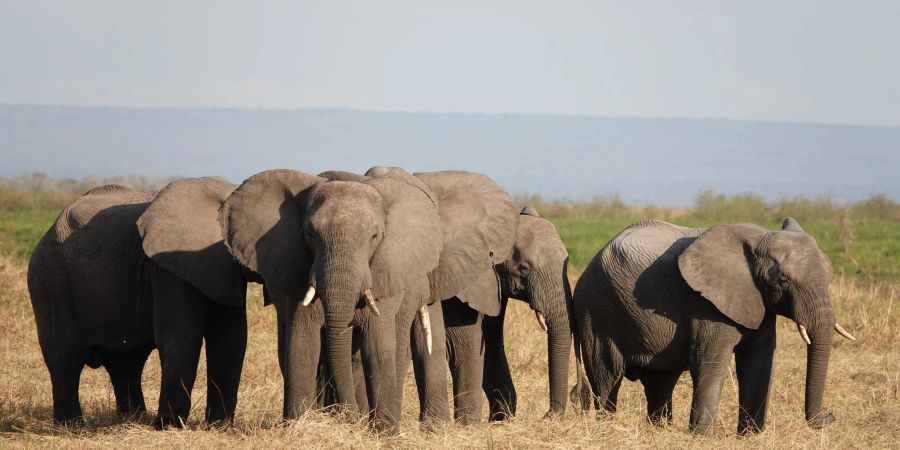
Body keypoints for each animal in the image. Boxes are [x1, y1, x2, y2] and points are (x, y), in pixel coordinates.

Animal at [28, 178, 253, 428]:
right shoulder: (167, 270)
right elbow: (181, 336)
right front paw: (168, 427)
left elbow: (231, 339)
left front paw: (219, 426)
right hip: (50, 280)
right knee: (65, 358)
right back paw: (71, 425)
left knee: (126, 362)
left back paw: (132, 419)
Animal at [218, 168, 442, 432]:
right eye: (310, 234)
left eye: (375, 236)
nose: (350, 418)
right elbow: (303, 346)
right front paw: (299, 426)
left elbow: (377, 348)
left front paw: (384, 434)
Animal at [572, 218, 856, 436]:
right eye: (783, 281)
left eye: (830, 276)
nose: (830, 415)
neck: (759, 237)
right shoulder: (704, 303)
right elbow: (710, 360)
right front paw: (701, 437)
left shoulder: (757, 300)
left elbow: (760, 361)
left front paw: (750, 436)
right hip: (596, 310)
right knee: (607, 377)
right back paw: (607, 427)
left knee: (660, 381)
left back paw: (660, 430)